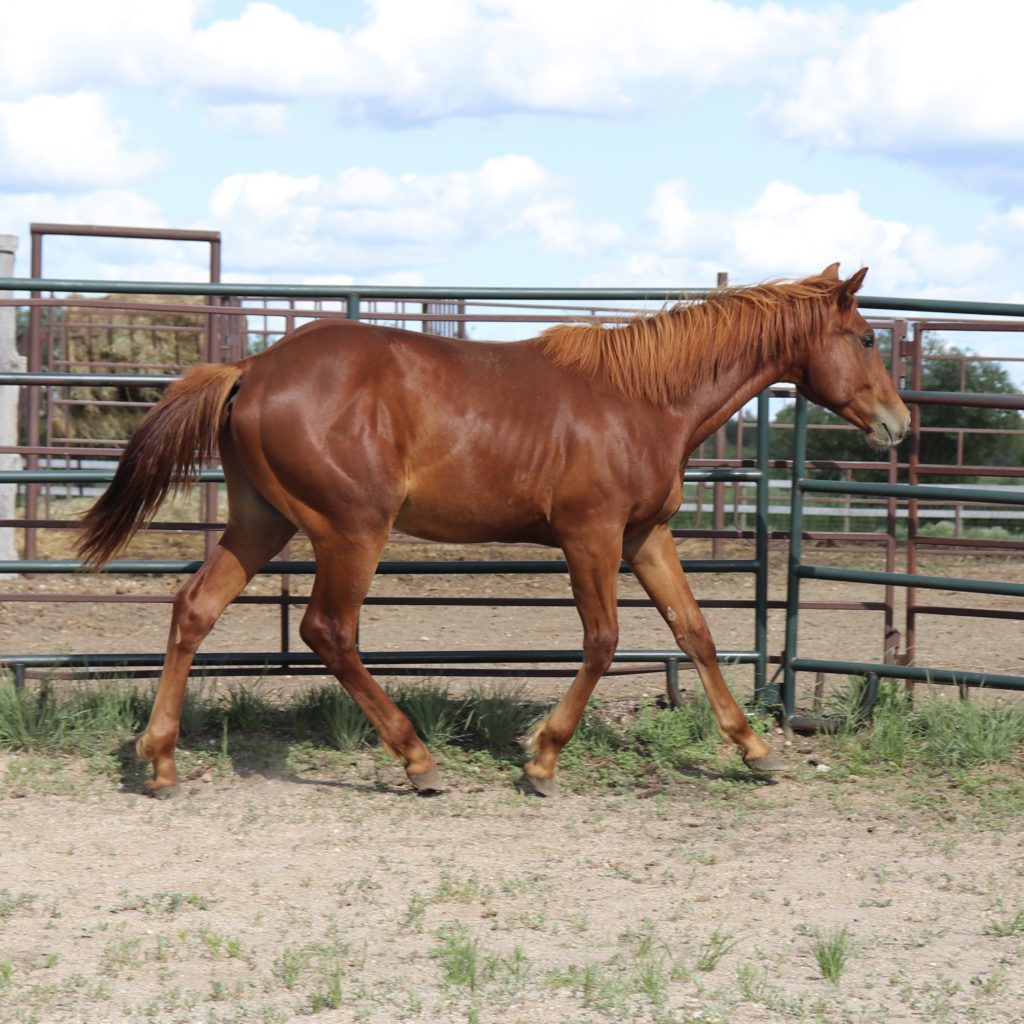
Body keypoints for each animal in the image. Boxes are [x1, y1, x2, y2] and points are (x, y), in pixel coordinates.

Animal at [81, 260, 913, 794]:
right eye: (868, 339)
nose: (899, 425)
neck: (644, 400)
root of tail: (251, 370)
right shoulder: (590, 535)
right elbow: (604, 640)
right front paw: (542, 759)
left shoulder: (645, 536)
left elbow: (695, 632)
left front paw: (756, 749)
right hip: (352, 529)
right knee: (328, 631)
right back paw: (417, 761)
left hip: (263, 523)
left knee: (195, 608)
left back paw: (160, 762)